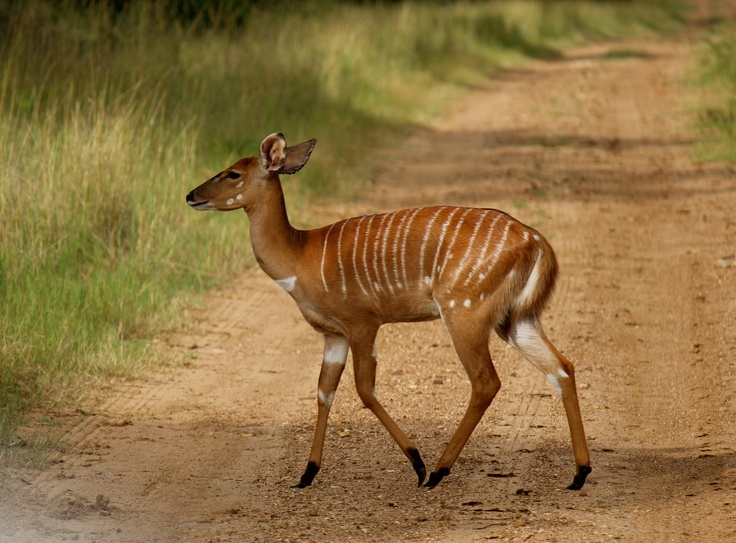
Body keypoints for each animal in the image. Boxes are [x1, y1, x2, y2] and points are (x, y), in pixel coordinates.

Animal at [185, 133, 592, 492]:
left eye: (232, 173)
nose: (191, 195)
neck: (299, 258)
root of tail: (537, 242)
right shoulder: (333, 334)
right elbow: (323, 392)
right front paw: (306, 475)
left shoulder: (362, 321)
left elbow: (364, 390)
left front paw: (417, 463)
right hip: (514, 318)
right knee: (562, 367)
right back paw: (579, 474)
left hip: (464, 310)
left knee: (486, 381)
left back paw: (437, 472)